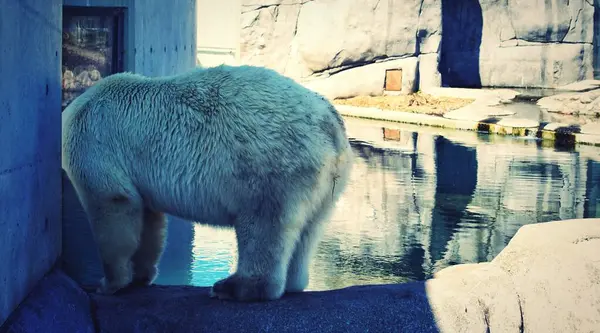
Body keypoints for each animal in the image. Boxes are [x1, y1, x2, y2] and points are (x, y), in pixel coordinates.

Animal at [61, 64, 352, 300]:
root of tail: (330, 124)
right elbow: (149, 220)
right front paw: (140, 276)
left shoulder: (92, 141)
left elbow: (113, 202)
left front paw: (109, 283)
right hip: (329, 181)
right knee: (309, 230)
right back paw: (293, 282)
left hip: (271, 166)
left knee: (264, 226)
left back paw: (232, 287)